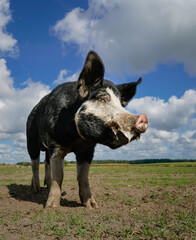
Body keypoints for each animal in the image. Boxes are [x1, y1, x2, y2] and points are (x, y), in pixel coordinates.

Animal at [26, 50, 148, 208]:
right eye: (102, 98)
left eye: (121, 104)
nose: (143, 118)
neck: (75, 139)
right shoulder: (55, 144)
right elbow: (58, 175)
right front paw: (51, 207)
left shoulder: (88, 150)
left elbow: (83, 176)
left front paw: (92, 205)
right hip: (31, 138)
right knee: (34, 163)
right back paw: (36, 189)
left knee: (46, 163)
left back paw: (46, 186)